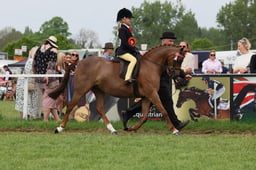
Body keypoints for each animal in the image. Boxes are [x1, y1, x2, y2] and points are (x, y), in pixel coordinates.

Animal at [52, 44, 184, 134]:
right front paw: (174, 130)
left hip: (99, 91)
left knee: (99, 109)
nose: (178, 76)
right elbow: (164, 110)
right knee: (70, 106)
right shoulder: (152, 94)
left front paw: (132, 128)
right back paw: (59, 128)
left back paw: (112, 129)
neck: (150, 65)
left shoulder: (147, 96)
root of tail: (79, 63)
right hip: (81, 89)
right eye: (179, 59)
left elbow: (145, 116)